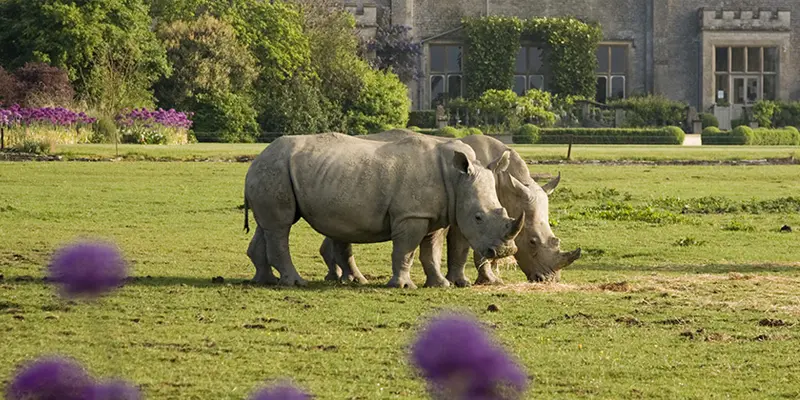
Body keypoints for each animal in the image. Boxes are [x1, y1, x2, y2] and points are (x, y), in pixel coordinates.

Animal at [242, 132, 524, 288]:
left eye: (502, 209)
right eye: (478, 217)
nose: (504, 251)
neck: (456, 178)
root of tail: (256, 159)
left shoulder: (433, 215)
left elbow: (431, 252)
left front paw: (440, 285)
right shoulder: (411, 215)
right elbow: (406, 250)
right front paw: (404, 286)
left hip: (274, 171)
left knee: (268, 226)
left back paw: (266, 281)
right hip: (275, 169)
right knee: (281, 227)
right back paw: (295, 282)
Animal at [318, 129, 581, 285]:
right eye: (532, 242)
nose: (549, 280)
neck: (507, 184)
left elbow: (467, 248)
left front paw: (480, 279)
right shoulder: (468, 213)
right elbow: (467, 248)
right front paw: (485, 281)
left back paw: (336, 276)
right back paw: (343, 278)